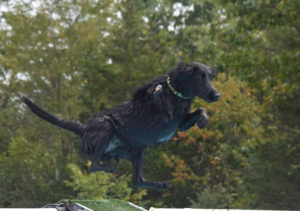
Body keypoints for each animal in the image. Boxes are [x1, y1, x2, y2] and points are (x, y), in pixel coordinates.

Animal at [22, 61, 220, 191]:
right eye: (200, 78)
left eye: (210, 78)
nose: (217, 95)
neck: (177, 95)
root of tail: (86, 129)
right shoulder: (163, 120)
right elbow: (159, 102)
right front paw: (157, 94)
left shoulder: (177, 126)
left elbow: (200, 110)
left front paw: (203, 120)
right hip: (105, 126)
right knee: (94, 164)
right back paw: (108, 168)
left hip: (138, 150)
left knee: (137, 180)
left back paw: (159, 184)